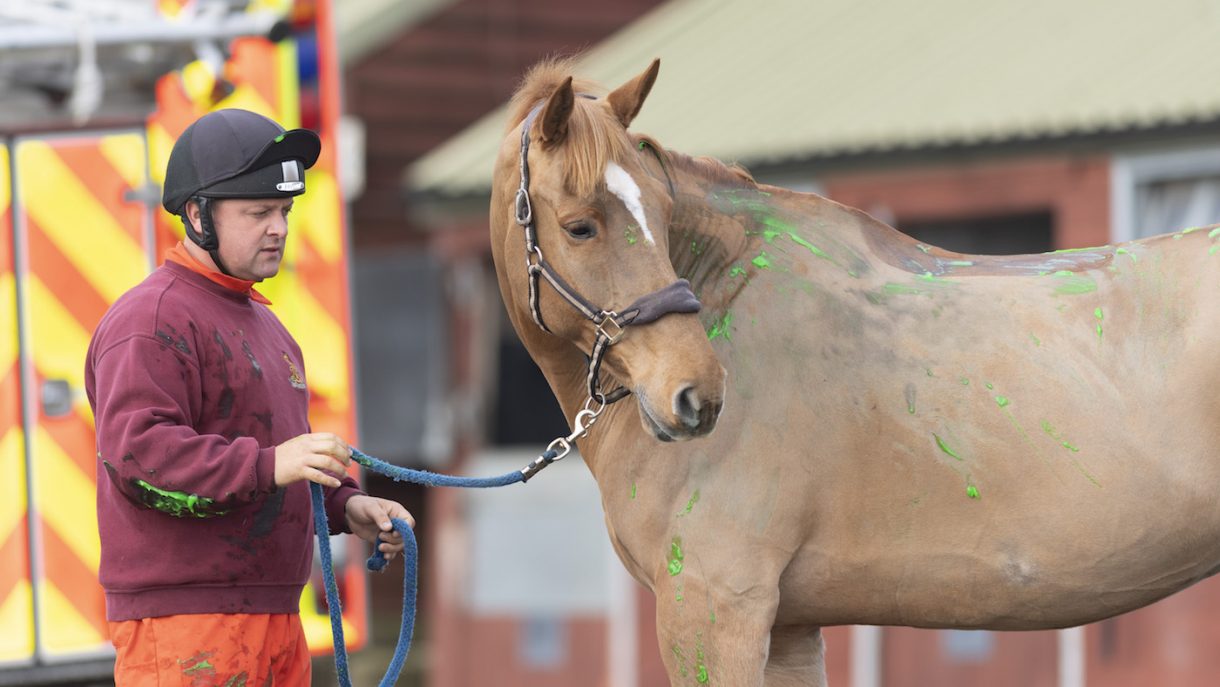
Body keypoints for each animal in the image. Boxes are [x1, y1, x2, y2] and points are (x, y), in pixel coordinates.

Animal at [488, 57, 1220, 686]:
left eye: (662, 217)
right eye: (580, 226)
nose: (697, 394)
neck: (737, 295)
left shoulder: (714, 609)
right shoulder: (785, 627)